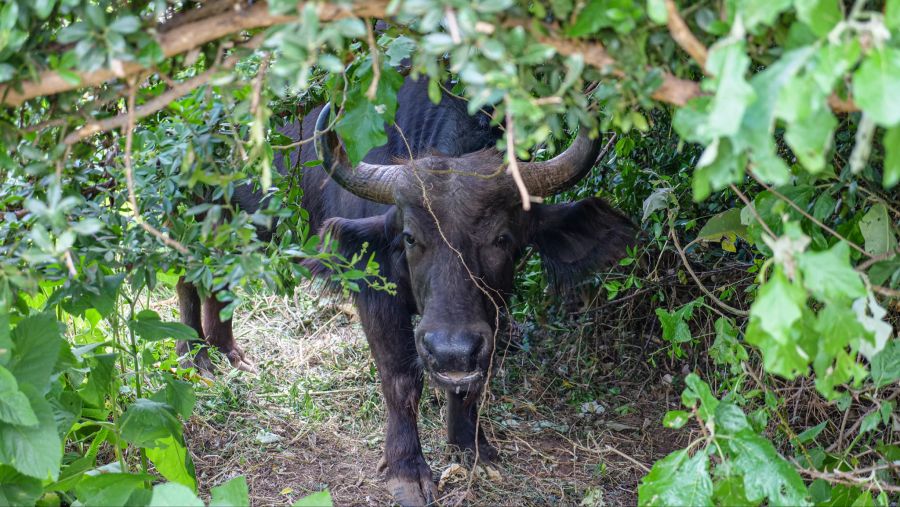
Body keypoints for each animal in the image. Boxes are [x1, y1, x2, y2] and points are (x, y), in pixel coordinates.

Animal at [176, 77, 636, 506]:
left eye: (503, 239)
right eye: (411, 238)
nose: (450, 350)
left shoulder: (488, 312)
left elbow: (473, 379)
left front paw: (472, 447)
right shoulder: (374, 293)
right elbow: (400, 378)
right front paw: (406, 469)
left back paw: (229, 353)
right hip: (186, 214)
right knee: (186, 280)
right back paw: (195, 358)